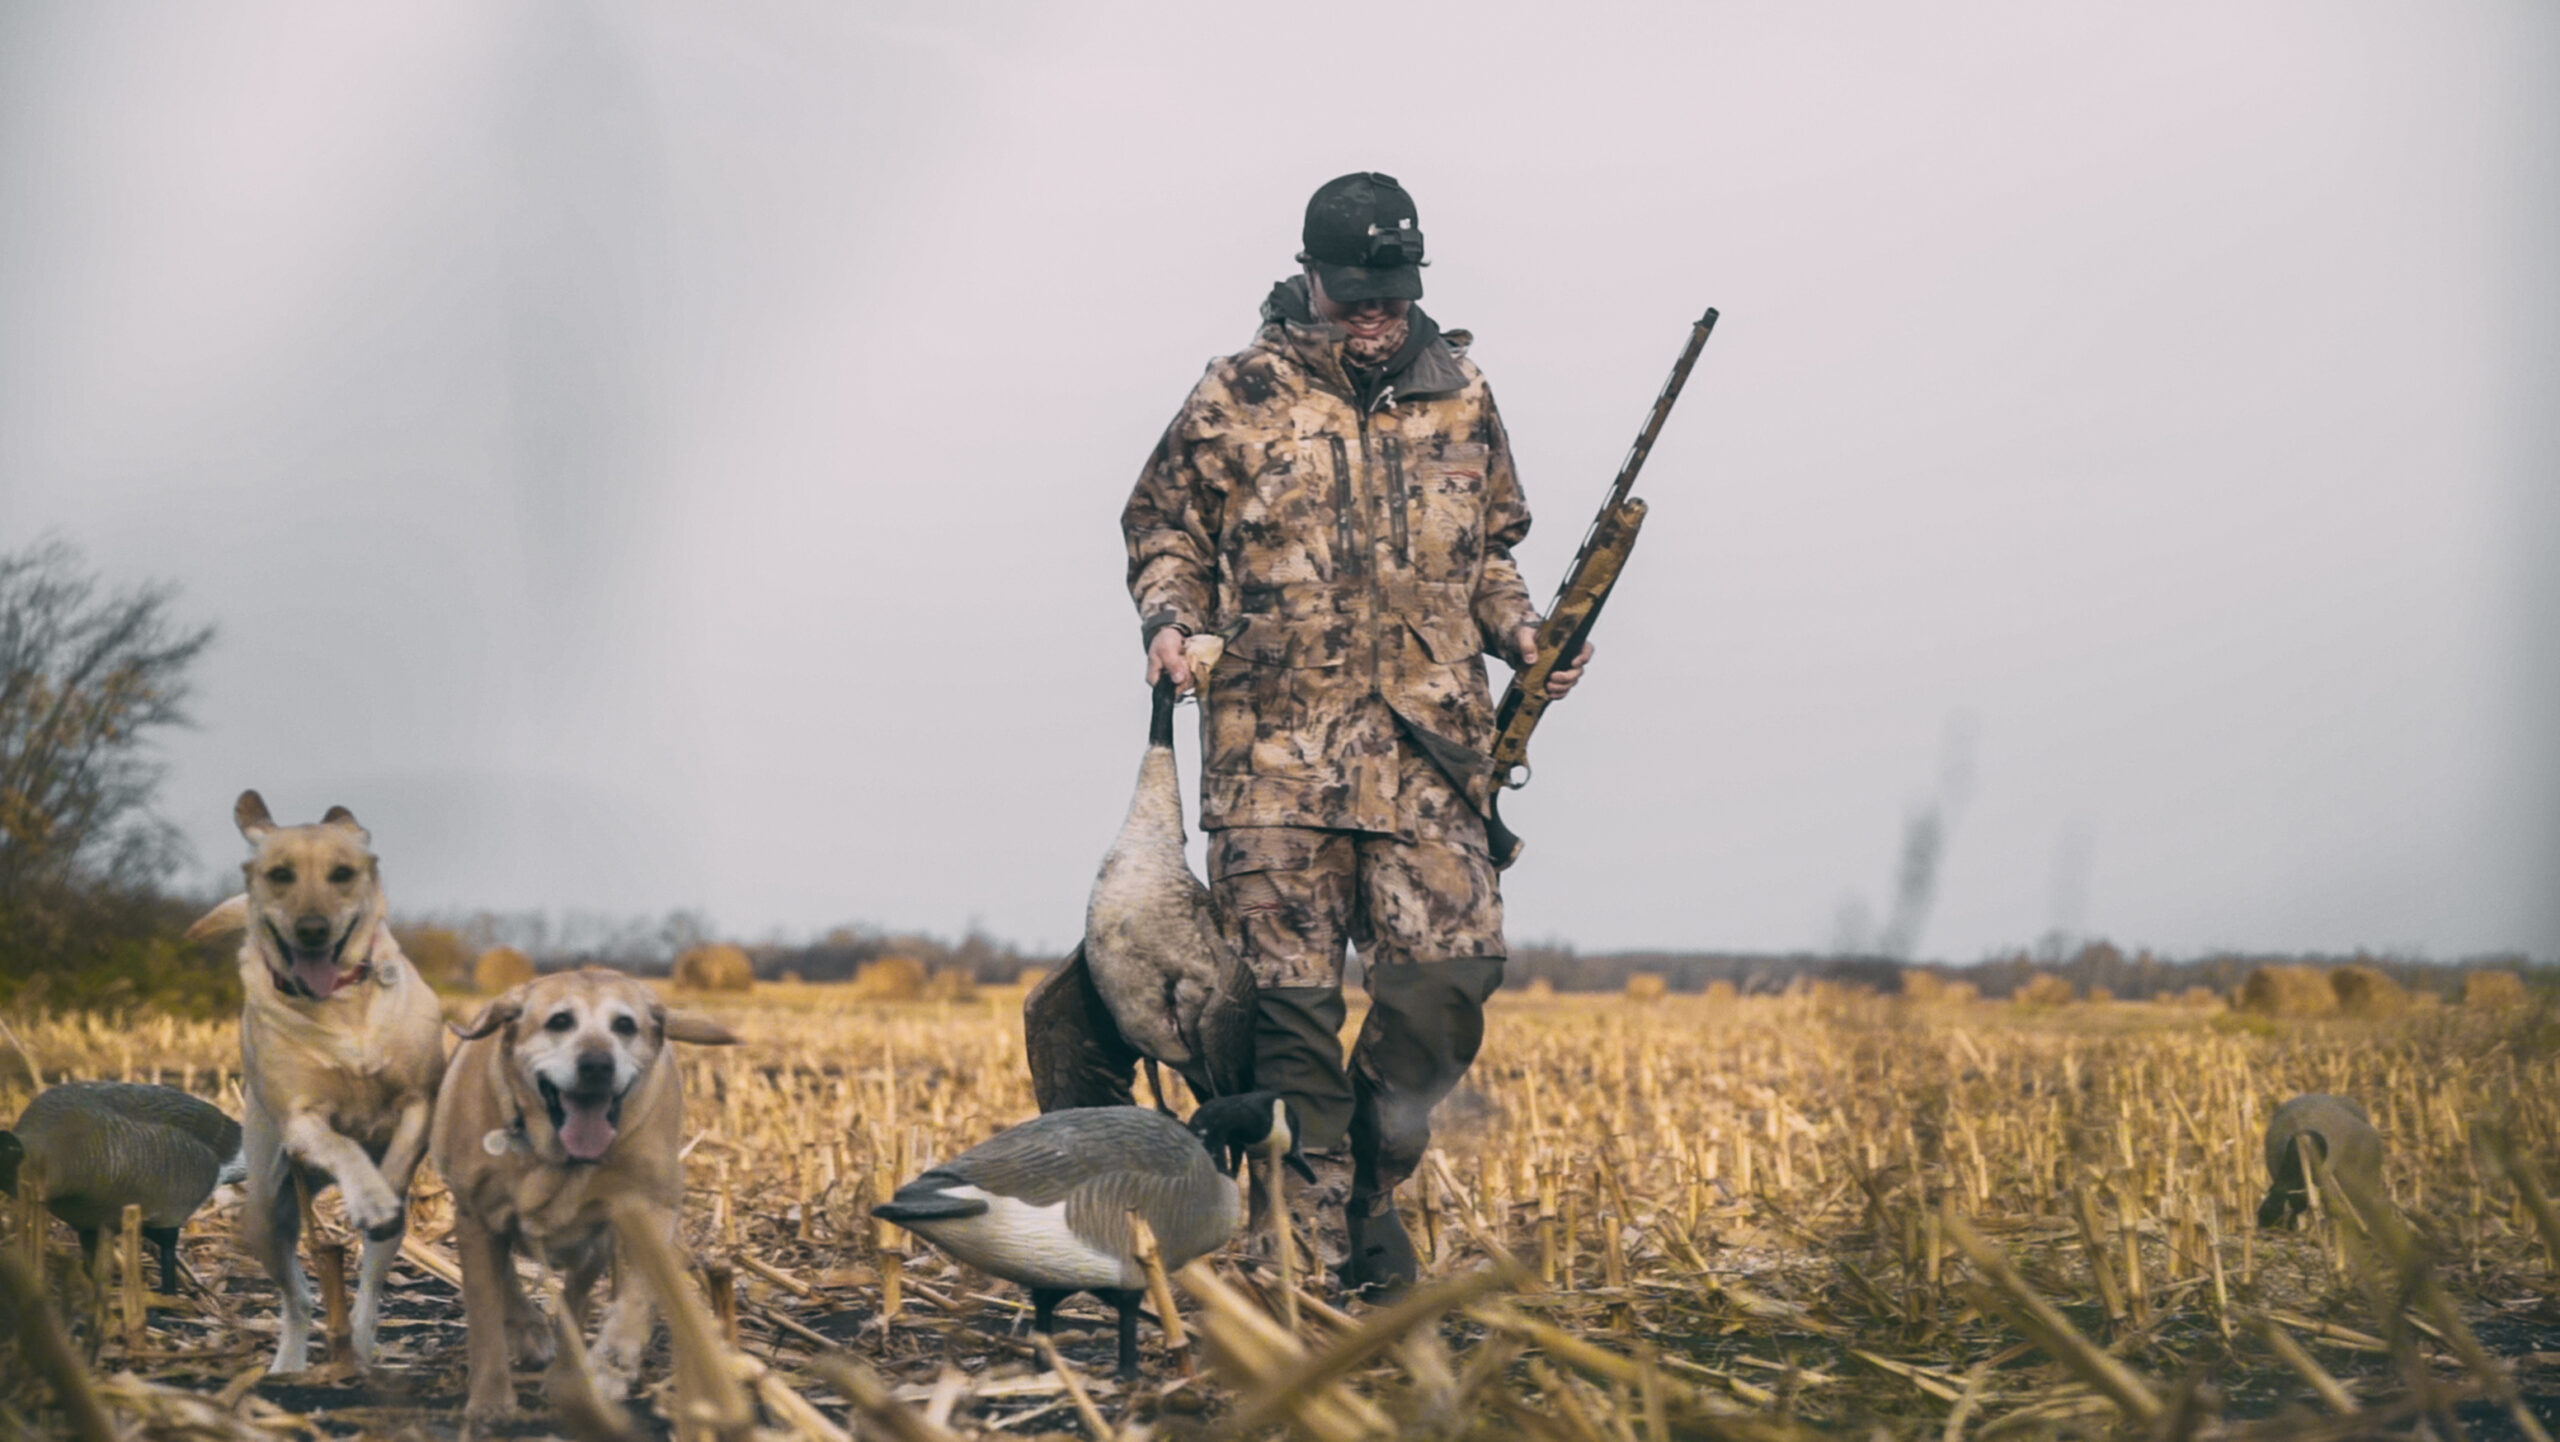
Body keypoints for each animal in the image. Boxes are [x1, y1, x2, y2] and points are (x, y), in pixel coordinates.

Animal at [189, 793, 445, 1372]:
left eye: (342, 874)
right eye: (280, 874)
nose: (311, 929)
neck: (342, 1005)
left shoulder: (420, 1101)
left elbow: (396, 1159)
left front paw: (381, 1193)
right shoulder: (302, 1120)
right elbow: (343, 1145)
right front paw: (368, 1194)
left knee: (369, 1291)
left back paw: (364, 1349)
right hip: (265, 1212)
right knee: (298, 1297)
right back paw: (290, 1364)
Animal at [432, 968, 742, 1424]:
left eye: (625, 1025)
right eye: (560, 1021)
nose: (597, 1065)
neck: (558, 1159)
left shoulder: (646, 1212)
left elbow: (627, 1300)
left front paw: (604, 1369)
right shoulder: (476, 1218)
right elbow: (486, 1314)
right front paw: (490, 1401)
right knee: (507, 1281)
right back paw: (529, 1333)